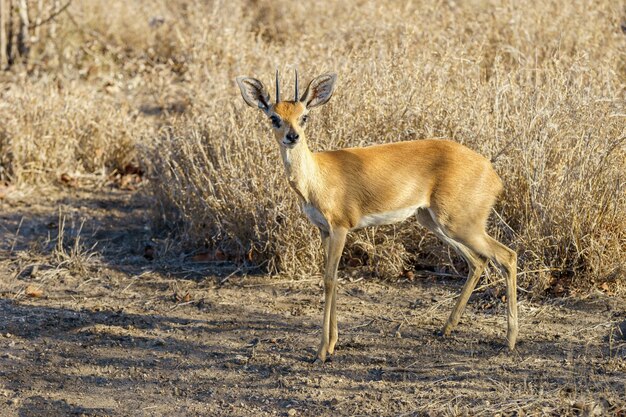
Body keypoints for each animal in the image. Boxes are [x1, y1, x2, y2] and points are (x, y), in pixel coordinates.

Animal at [234, 70, 516, 362]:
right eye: (274, 117)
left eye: (304, 116)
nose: (292, 136)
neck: (317, 177)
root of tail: (492, 172)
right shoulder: (324, 230)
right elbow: (331, 279)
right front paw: (332, 344)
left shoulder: (340, 228)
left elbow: (329, 279)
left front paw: (321, 351)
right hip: (434, 222)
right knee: (478, 261)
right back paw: (446, 328)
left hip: (458, 224)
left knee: (507, 256)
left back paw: (509, 340)